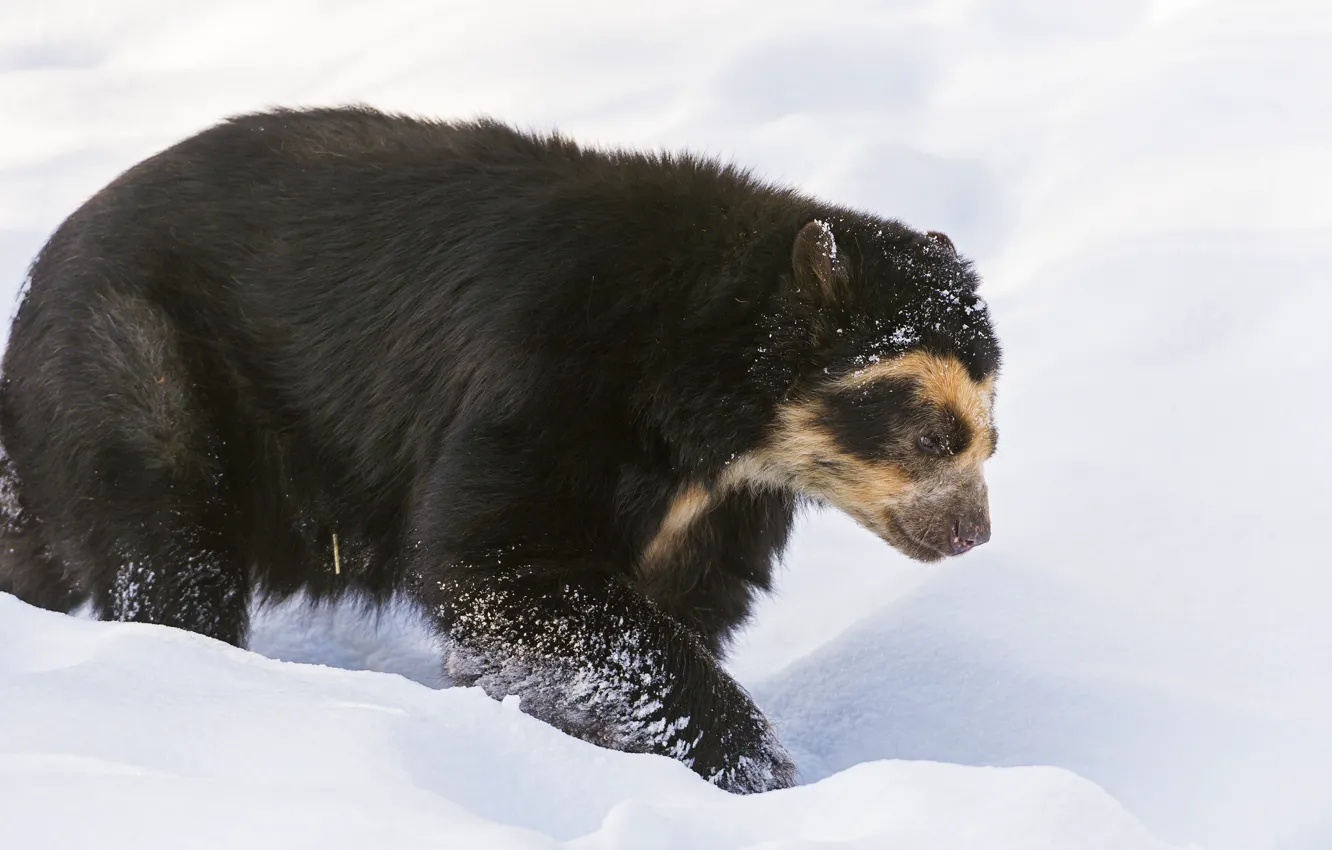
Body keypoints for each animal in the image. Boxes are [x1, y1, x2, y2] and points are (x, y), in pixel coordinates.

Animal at [0, 107, 1001, 793]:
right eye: (931, 434)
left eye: (992, 437)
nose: (972, 534)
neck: (712, 423)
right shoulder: (546, 384)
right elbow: (506, 562)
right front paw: (748, 766)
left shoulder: (719, 509)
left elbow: (674, 605)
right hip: (138, 365)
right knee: (168, 548)